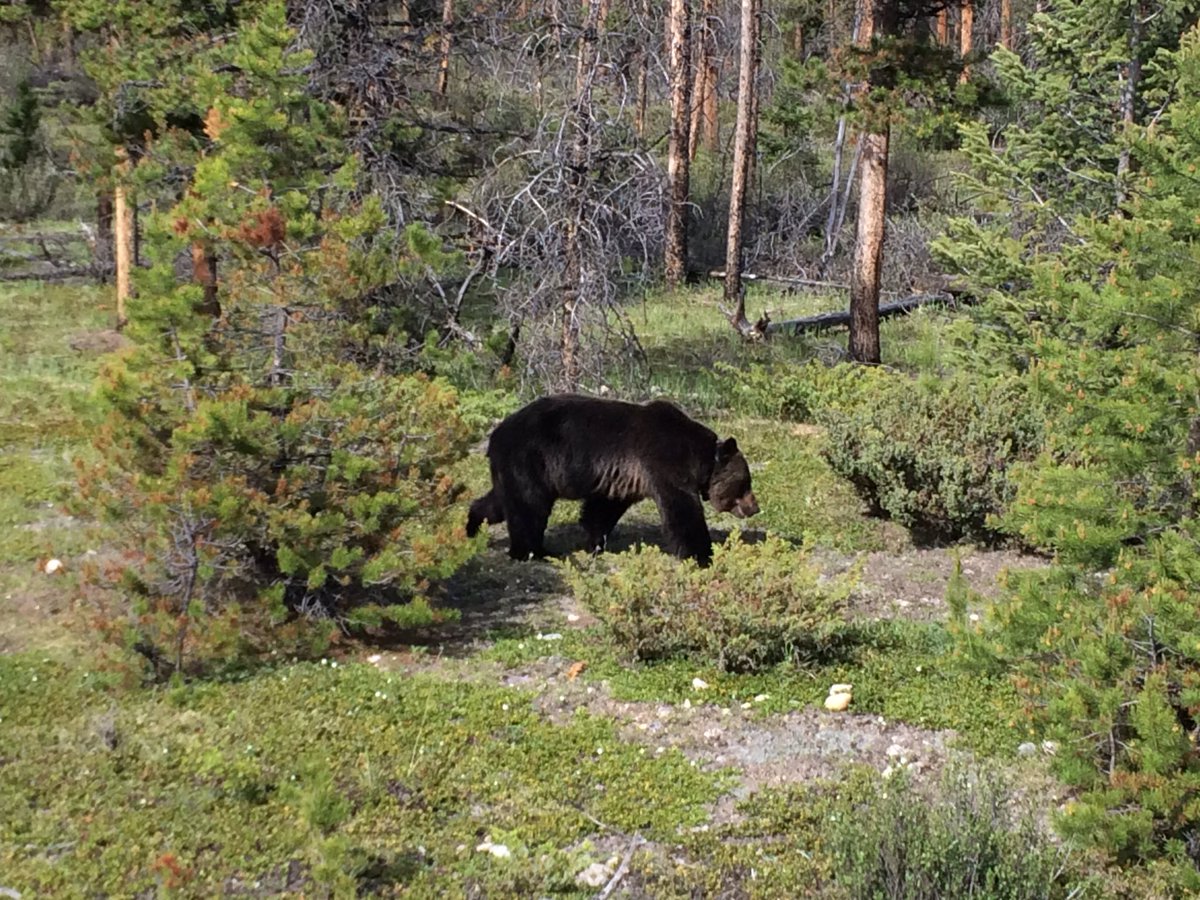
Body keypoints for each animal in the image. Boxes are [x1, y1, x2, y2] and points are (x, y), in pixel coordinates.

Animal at [466, 394, 759, 565]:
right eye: (746, 483)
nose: (755, 507)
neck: (699, 460)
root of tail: (495, 436)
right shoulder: (664, 460)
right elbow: (681, 510)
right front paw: (703, 554)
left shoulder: (623, 477)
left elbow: (603, 508)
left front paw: (595, 542)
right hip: (532, 460)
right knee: (529, 507)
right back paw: (532, 552)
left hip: (514, 469)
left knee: (501, 501)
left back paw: (472, 525)